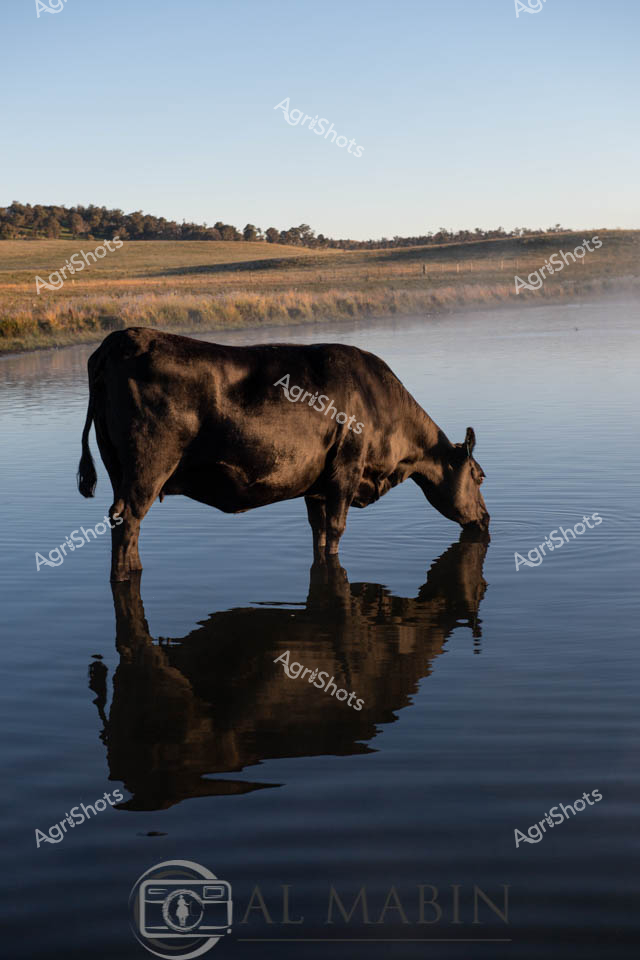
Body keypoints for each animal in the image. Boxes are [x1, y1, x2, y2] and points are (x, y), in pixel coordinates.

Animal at [78, 327, 489, 580]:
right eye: (480, 476)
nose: (486, 518)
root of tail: (121, 337)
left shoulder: (317, 484)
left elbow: (318, 533)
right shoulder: (346, 470)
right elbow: (336, 530)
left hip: (116, 468)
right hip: (147, 467)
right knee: (128, 521)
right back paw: (127, 575)